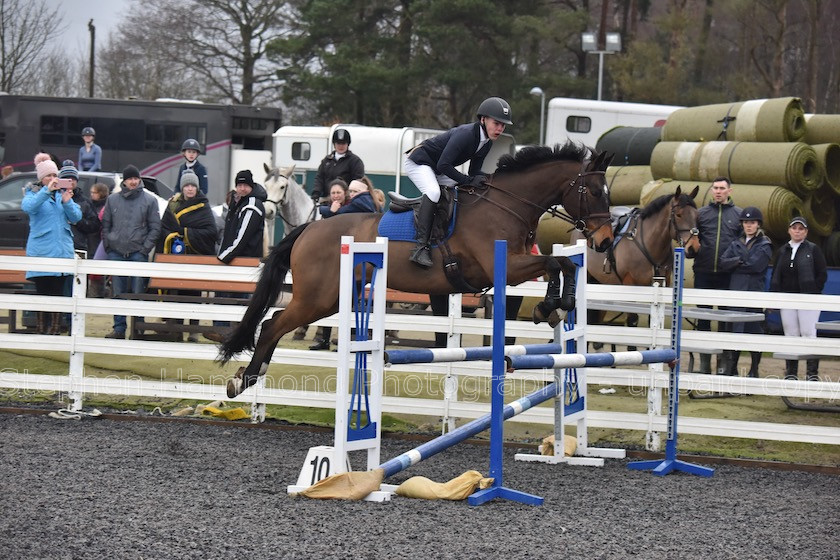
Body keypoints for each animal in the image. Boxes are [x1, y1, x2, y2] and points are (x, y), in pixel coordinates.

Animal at [220, 144, 612, 398]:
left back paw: (251, 376)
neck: (506, 205)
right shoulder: (506, 265)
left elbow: (562, 264)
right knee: (273, 324)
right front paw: (550, 307)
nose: (606, 241)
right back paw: (245, 379)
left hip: (329, 298)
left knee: (275, 321)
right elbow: (554, 262)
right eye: (595, 191)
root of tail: (308, 229)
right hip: (317, 297)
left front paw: (557, 306)